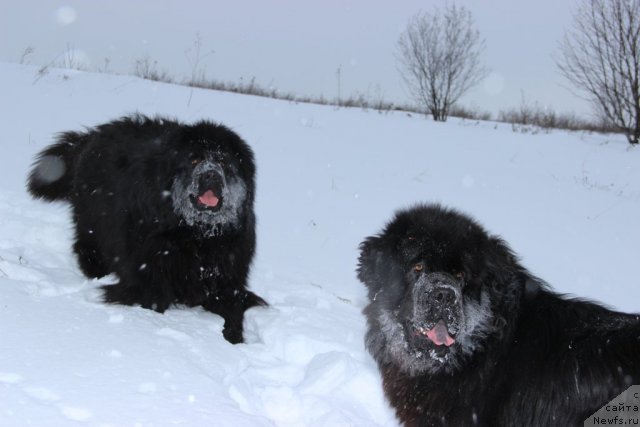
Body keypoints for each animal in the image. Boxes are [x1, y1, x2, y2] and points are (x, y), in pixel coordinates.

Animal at [28, 114, 264, 344]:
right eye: (194, 160)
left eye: (223, 161)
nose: (211, 174)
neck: (197, 234)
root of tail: (93, 135)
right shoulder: (148, 274)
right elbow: (153, 300)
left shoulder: (227, 277)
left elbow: (234, 309)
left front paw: (233, 337)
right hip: (92, 226)